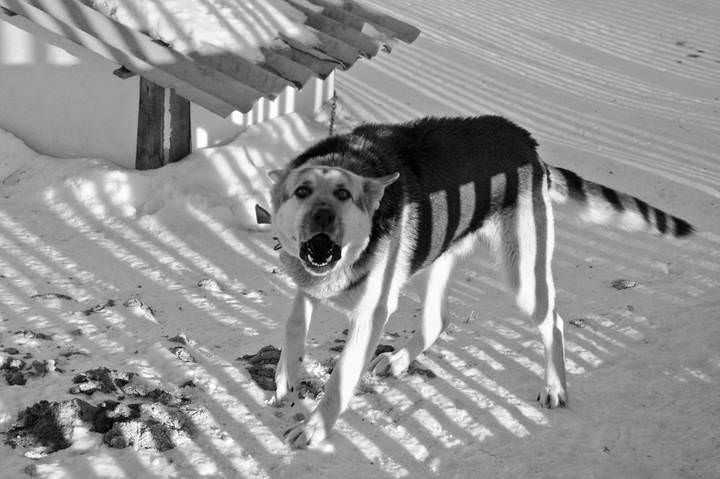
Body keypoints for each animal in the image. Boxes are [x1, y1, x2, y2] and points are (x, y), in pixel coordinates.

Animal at [264, 116, 692, 448]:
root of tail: (528, 145)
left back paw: (556, 388)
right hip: (434, 256)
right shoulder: (309, 283)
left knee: (552, 322)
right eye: (302, 191)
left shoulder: (370, 312)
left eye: (343, 194)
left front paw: (314, 429)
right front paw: (286, 376)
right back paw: (400, 360)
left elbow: (339, 382)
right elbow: (294, 323)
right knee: (437, 320)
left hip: (523, 276)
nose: (322, 216)